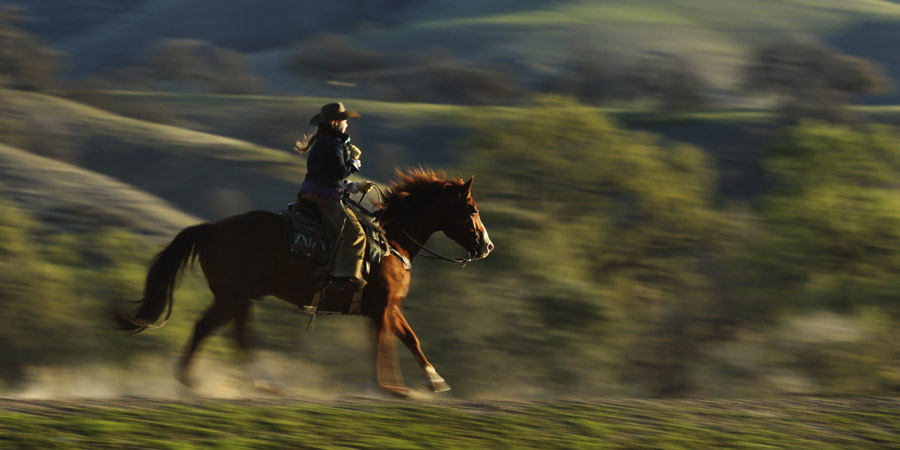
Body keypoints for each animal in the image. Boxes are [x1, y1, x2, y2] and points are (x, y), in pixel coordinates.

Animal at [113, 169, 496, 398]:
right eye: (472, 209)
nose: (487, 246)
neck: (392, 242)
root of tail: (214, 229)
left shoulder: (388, 308)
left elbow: (410, 339)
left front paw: (434, 380)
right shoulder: (382, 309)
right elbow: (384, 344)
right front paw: (392, 388)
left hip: (239, 298)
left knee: (240, 335)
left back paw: (261, 383)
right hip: (231, 297)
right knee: (205, 328)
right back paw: (191, 381)